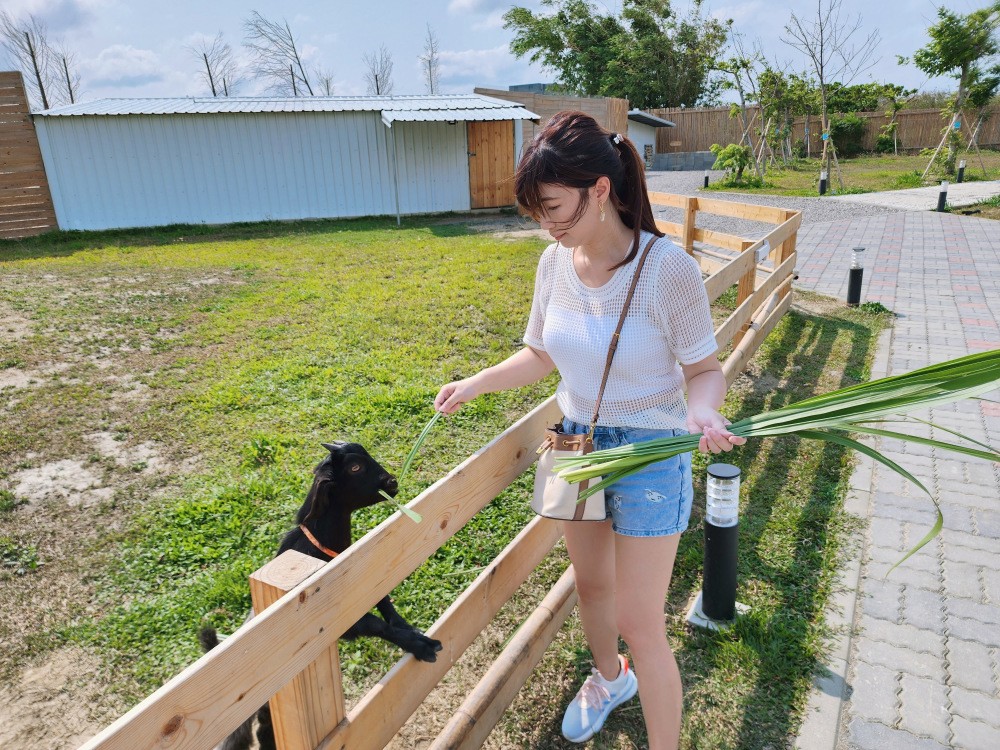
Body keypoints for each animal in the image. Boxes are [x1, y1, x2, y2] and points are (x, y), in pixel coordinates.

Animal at [201, 440, 440, 750]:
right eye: (355, 467)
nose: (392, 482)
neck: (323, 550)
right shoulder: (336, 621)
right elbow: (375, 624)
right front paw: (421, 645)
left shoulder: (363, 575)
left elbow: (382, 599)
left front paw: (408, 627)